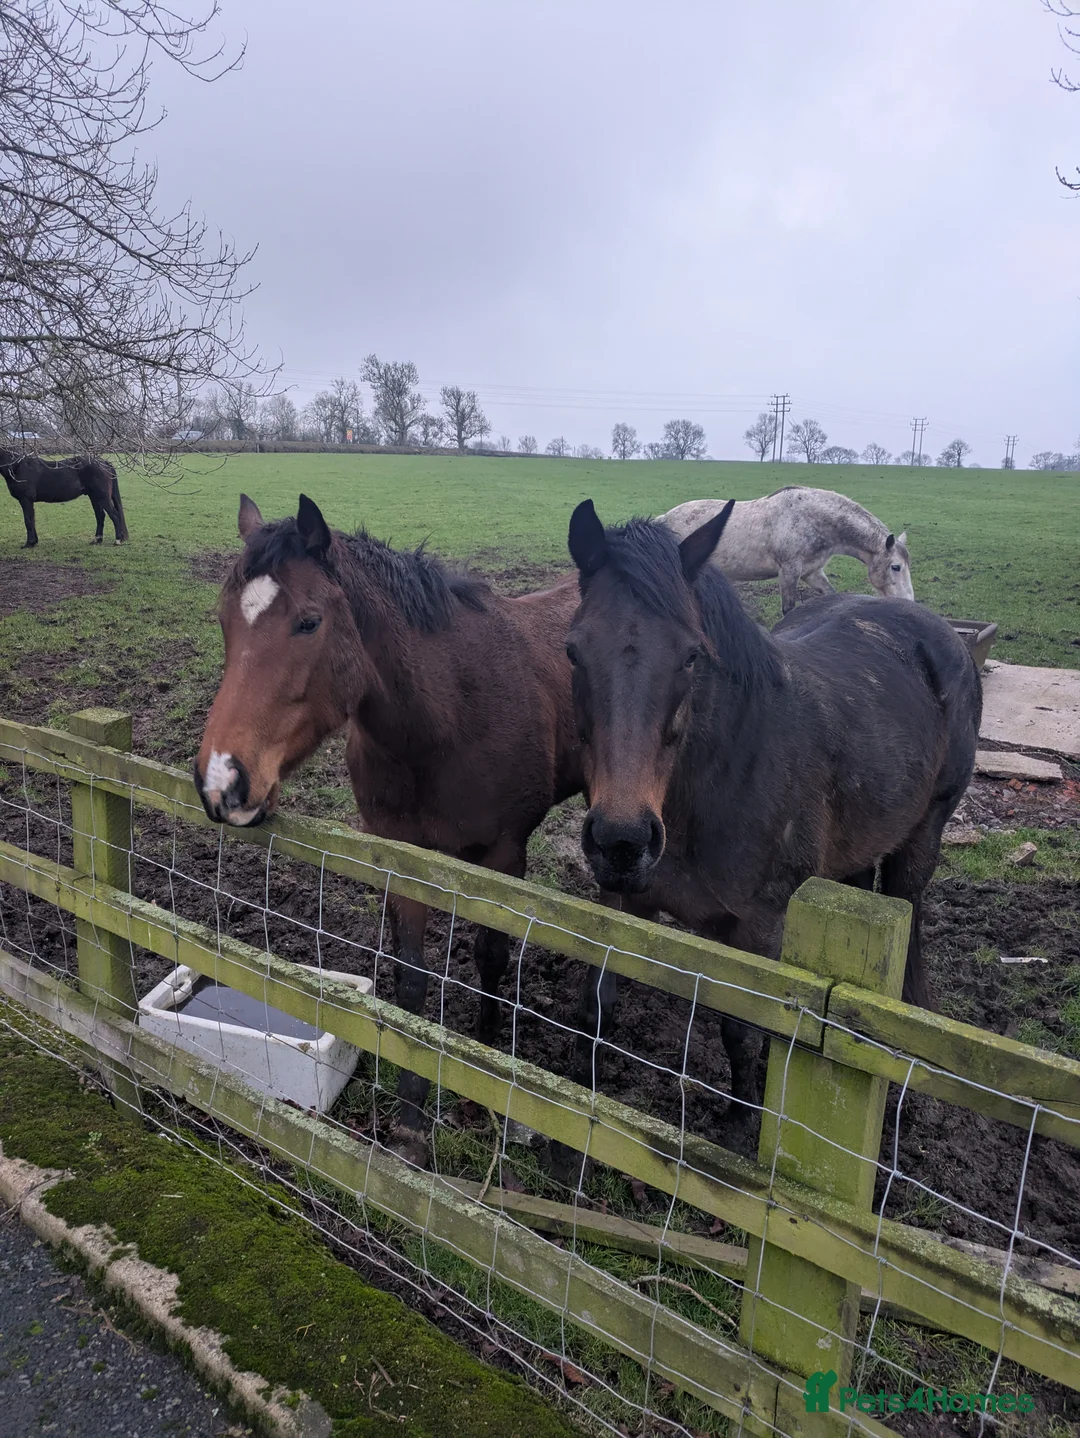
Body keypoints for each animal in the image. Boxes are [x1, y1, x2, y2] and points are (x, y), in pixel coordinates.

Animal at [0, 450, 128, 548]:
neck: (17, 467)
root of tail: (104, 463)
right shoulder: (28, 501)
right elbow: (32, 520)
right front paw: (33, 542)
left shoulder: (26, 500)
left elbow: (28, 521)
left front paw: (29, 543)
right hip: (94, 497)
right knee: (100, 516)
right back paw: (97, 540)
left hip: (102, 497)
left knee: (114, 515)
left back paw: (117, 540)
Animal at [194, 494, 582, 1163]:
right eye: (224, 620)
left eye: (309, 622)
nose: (223, 782)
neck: (450, 713)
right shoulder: (403, 855)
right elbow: (409, 981)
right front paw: (410, 1120)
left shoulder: (505, 858)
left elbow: (491, 961)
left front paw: (487, 1089)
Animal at [657, 486, 913, 614]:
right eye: (895, 567)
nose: (907, 602)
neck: (813, 519)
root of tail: (663, 519)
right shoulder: (789, 571)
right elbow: (788, 609)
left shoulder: (812, 572)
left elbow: (830, 594)